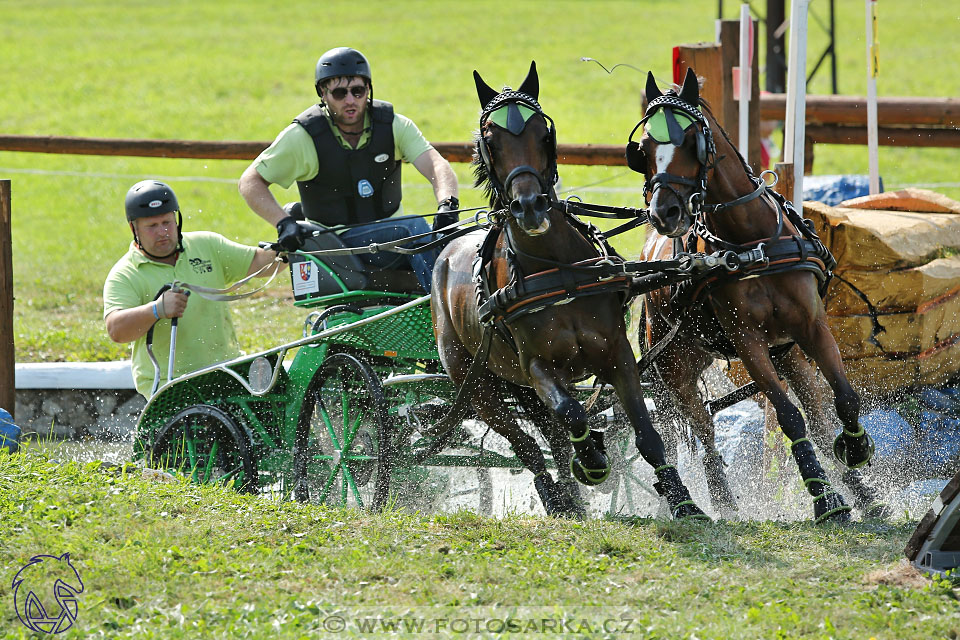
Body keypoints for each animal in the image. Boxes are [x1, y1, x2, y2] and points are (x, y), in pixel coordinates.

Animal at [432, 61, 708, 520]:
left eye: (543, 133)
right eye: (491, 140)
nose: (529, 206)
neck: (558, 272)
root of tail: (446, 252)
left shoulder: (617, 352)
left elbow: (646, 434)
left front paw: (683, 500)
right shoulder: (539, 368)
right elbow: (572, 413)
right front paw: (593, 460)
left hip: (515, 386)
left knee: (551, 438)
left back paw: (572, 500)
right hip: (478, 387)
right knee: (529, 444)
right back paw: (557, 495)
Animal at [624, 67, 876, 524]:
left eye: (691, 139)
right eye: (645, 148)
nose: (664, 212)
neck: (751, 241)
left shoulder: (810, 327)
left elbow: (843, 401)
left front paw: (854, 453)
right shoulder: (748, 341)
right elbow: (789, 418)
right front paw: (824, 499)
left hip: (786, 353)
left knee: (817, 416)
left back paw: (864, 495)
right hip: (673, 366)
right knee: (701, 428)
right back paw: (715, 500)